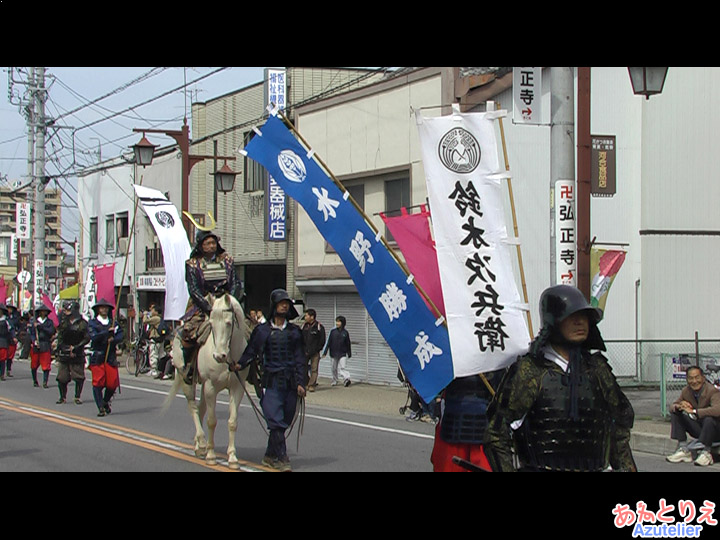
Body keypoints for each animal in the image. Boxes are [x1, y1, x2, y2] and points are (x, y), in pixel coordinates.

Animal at [164, 292, 250, 468]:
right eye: (211, 324)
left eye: (229, 323)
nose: (219, 356)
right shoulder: (211, 387)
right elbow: (212, 421)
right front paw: (211, 455)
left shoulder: (237, 388)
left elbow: (232, 422)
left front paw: (232, 458)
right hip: (187, 380)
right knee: (194, 408)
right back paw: (203, 443)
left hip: (204, 385)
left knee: (201, 408)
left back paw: (199, 446)